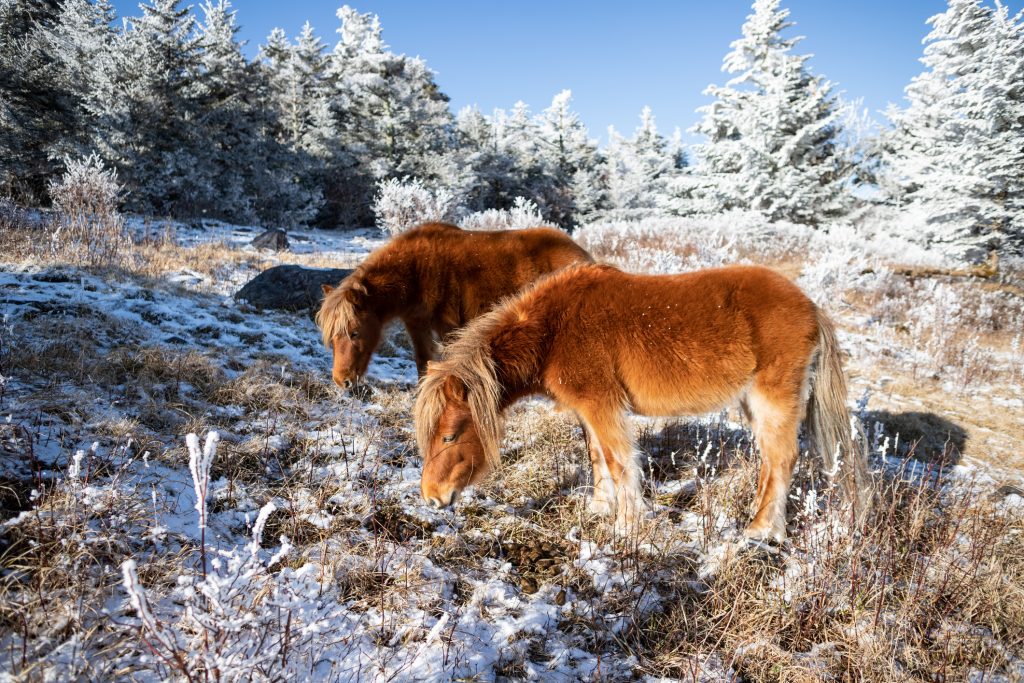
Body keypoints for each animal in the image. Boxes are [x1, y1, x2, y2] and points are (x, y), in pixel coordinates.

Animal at [317, 224, 593, 389]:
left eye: (354, 333)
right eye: (332, 338)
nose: (342, 381)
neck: (417, 269)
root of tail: (582, 255)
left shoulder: (448, 327)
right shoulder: (417, 325)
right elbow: (423, 363)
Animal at [411, 264, 868, 540]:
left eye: (449, 436)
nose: (431, 498)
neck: (553, 330)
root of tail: (810, 306)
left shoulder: (602, 406)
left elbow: (618, 461)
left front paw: (627, 527)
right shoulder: (589, 410)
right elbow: (596, 456)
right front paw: (600, 508)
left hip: (773, 400)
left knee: (782, 459)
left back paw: (761, 532)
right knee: (772, 463)